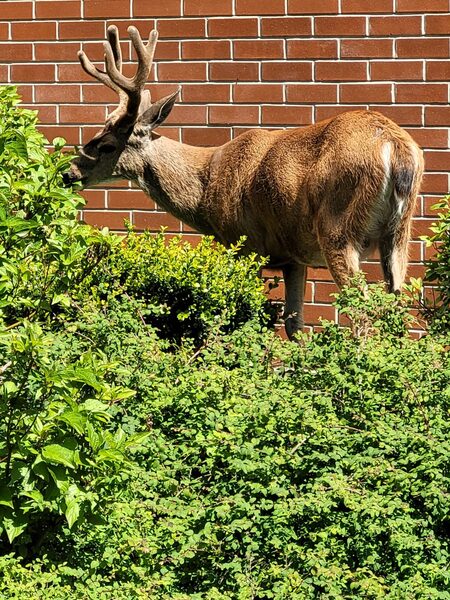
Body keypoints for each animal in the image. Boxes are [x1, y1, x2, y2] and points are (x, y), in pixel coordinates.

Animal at [64, 25, 426, 340]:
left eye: (106, 144)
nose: (70, 173)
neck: (206, 190)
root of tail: (397, 149)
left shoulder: (244, 243)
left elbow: (248, 316)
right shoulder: (292, 257)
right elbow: (294, 325)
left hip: (338, 227)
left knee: (365, 315)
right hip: (399, 233)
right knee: (398, 310)